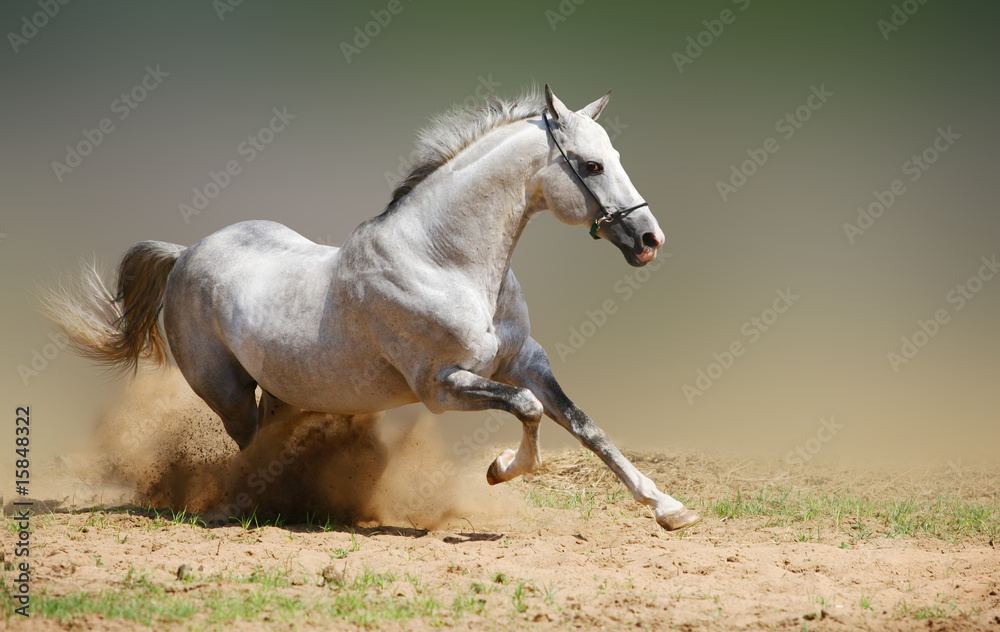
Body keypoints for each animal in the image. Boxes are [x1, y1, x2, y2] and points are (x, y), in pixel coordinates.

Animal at [44, 85, 700, 531]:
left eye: (615, 156)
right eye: (591, 165)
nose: (649, 239)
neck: (445, 261)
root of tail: (185, 254)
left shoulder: (525, 361)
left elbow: (585, 425)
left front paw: (669, 508)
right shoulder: (441, 386)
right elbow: (529, 409)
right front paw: (499, 468)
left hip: (282, 391)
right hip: (226, 391)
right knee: (248, 445)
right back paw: (245, 505)